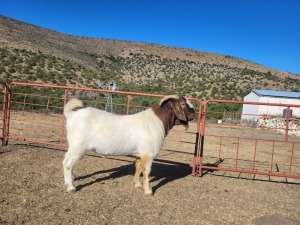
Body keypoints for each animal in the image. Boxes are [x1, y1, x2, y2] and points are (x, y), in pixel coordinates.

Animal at [62, 94, 196, 194]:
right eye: (183, 104)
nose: (194, 113)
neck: (157, 121)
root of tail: (72, 115)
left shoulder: (140, 154)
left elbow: (138, 167)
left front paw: (137, 184)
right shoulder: (149, 154)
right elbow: (147, 171)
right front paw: (148, 190)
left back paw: (72, 178)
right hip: (78, 146)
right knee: (67, 163)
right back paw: (71, 186)